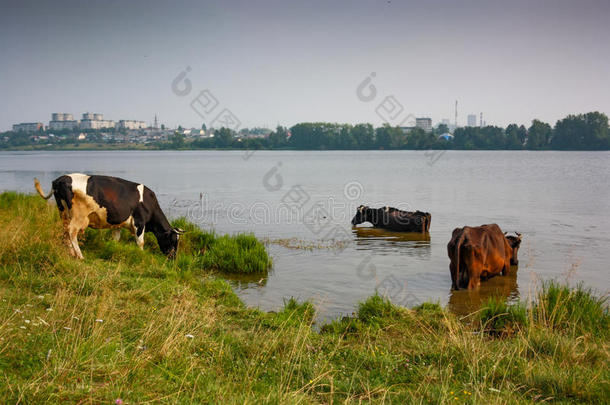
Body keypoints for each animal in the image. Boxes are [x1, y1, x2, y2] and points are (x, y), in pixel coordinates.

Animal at [34, 172, 182, 258]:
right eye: (173, 240)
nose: (173, 258)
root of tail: (60, 180)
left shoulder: (117, 224)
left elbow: (116, 239)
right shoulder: (139, 222)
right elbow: (140, 242)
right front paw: (141, 254)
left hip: (63, 212)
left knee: (65, 231)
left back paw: (71, 253)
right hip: (79, 216)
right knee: (72, 232)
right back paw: (80, 255)